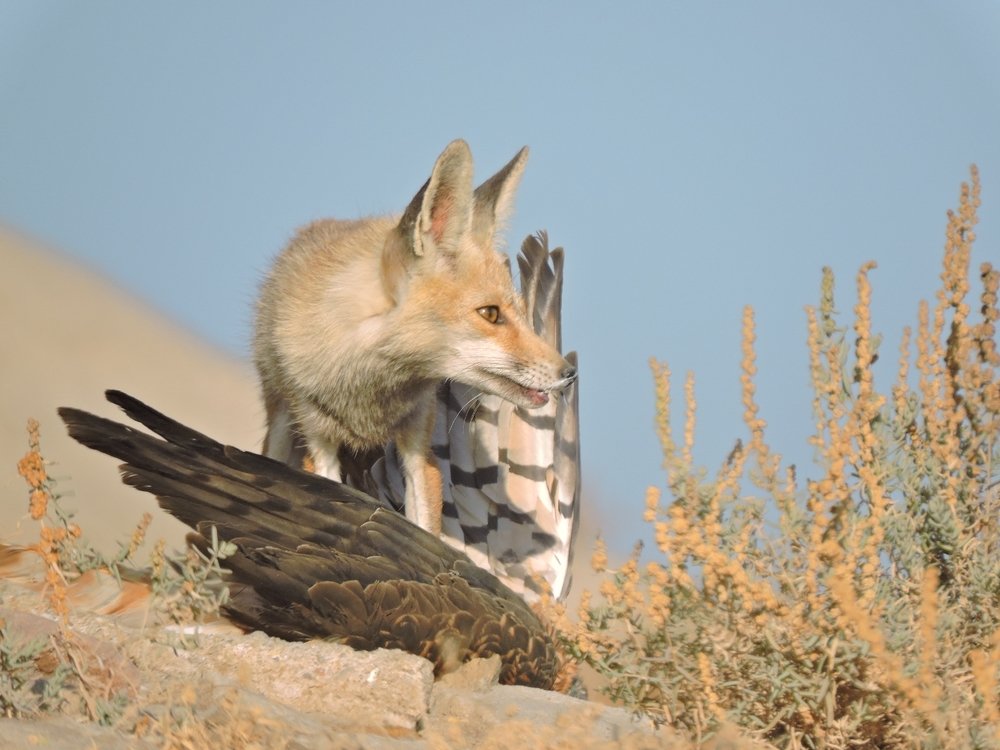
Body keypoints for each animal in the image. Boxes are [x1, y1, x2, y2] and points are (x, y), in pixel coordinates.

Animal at [253, 140, 577, 537]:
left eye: (519, 312)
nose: (570, 375)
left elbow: (423, 527)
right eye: (490, 314)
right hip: (282, 424)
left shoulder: (418, 443)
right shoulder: (317, 437)